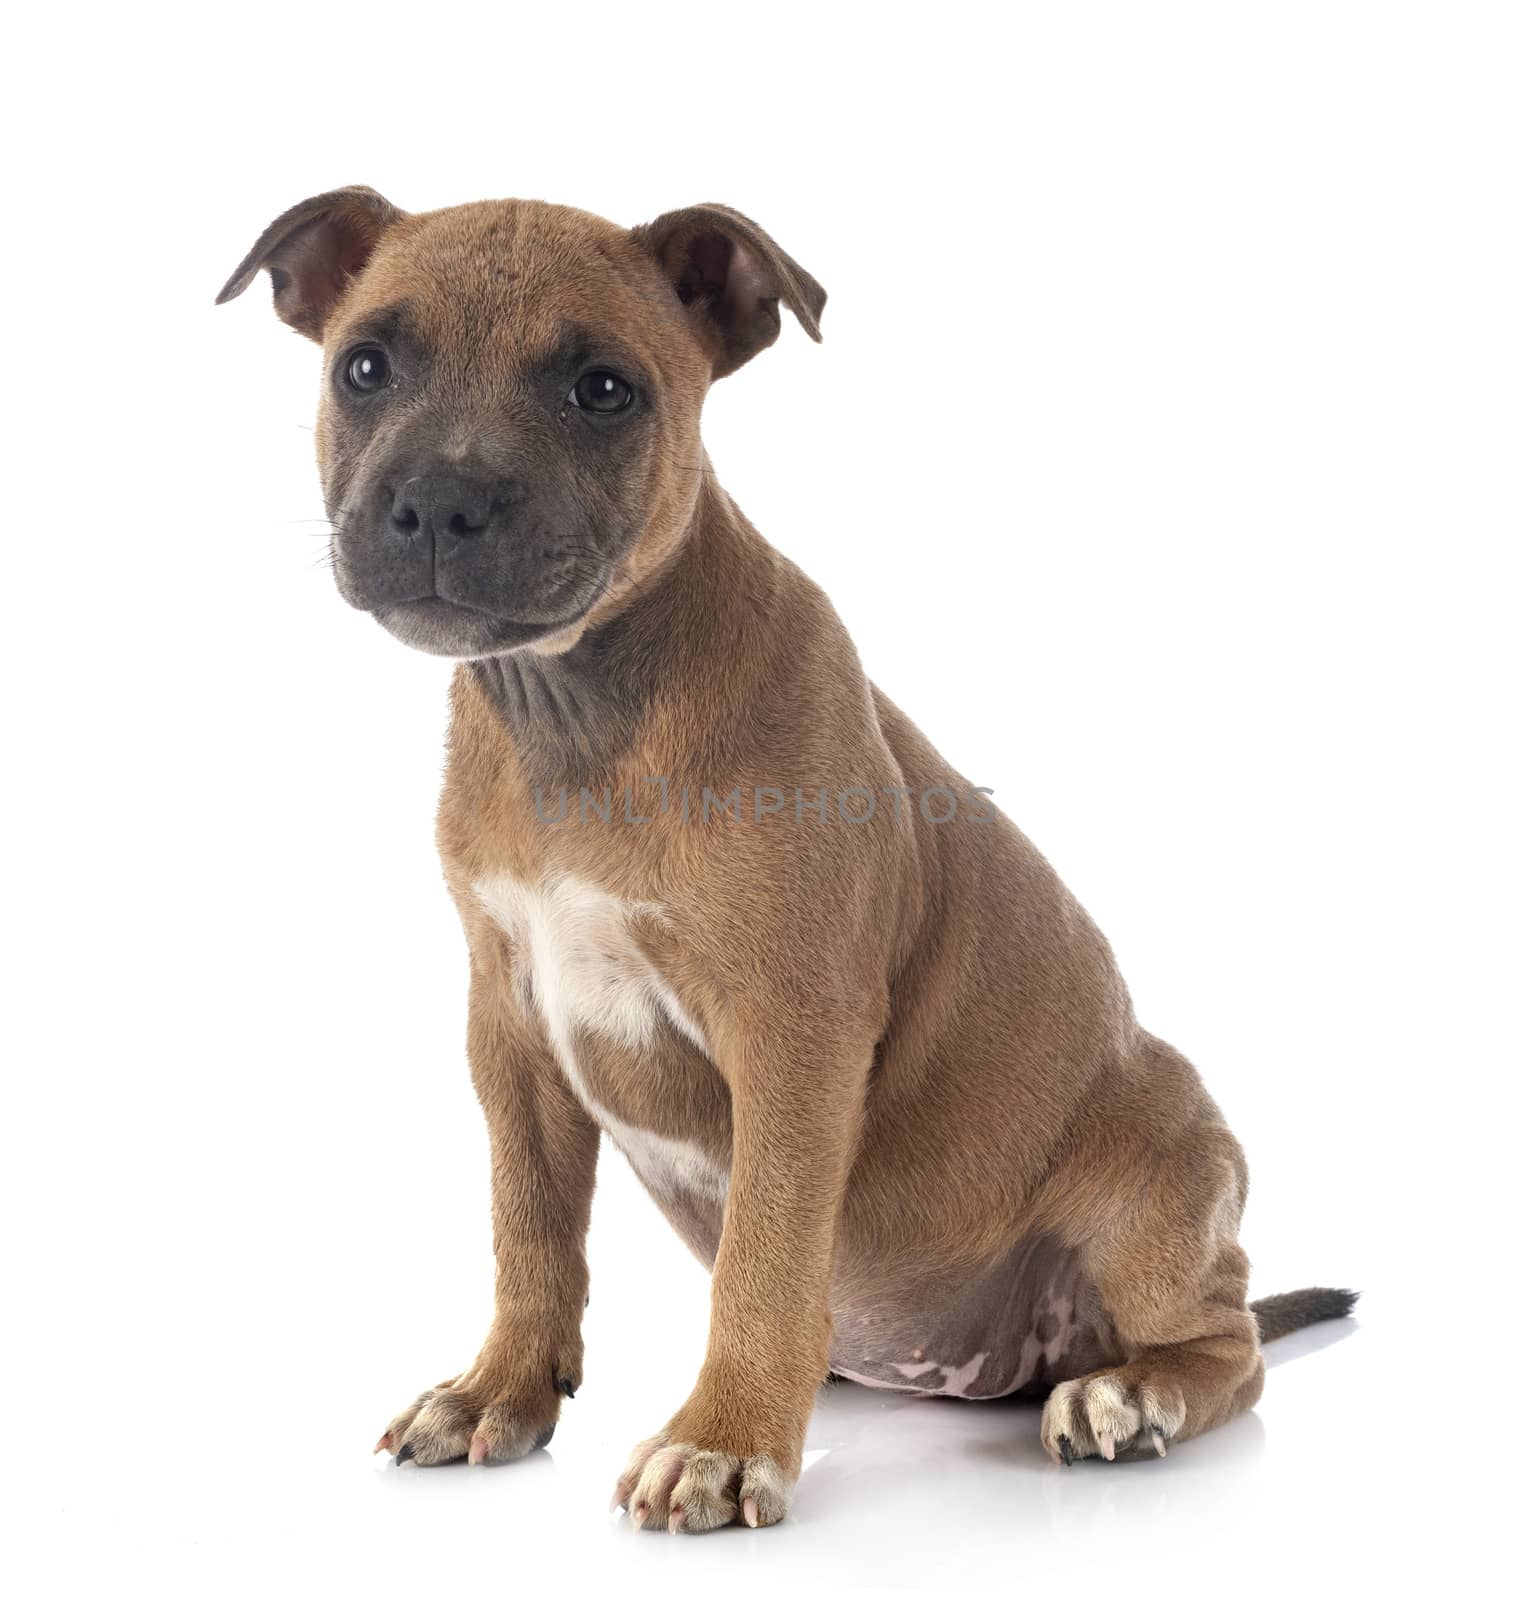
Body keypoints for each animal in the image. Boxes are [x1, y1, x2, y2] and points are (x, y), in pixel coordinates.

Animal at [220, 193, 1350, 1529]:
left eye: (602, 389)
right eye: (365, 367)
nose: (440, 503)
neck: (577, 706)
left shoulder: (790, 1032)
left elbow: (761, 1251)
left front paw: (721, 1439)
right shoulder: (510, 1027)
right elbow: (529, 1226)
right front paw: (502, 1386)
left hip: (1159, 1182)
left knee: (1227, 1344)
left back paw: (1129, 1395)